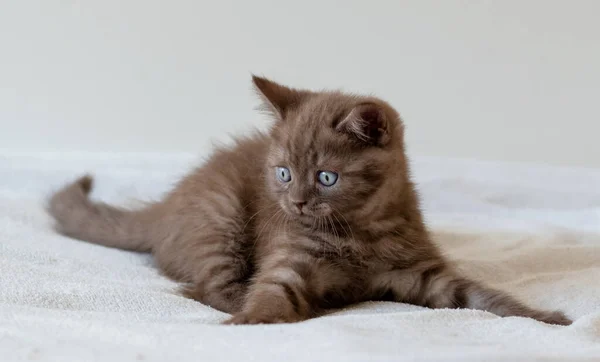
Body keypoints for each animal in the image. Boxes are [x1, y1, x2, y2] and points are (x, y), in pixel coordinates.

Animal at [47, 75, 572, 326]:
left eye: (325, 177)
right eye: (283, 173)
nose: (296, 203)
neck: (359, 233)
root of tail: (163, 206)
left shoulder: (423, 274)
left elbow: (481, 297)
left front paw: (542, 317)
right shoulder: (288, 258)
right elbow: (271, 291)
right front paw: (250, 321)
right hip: (221, 216)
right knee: (208, 286)